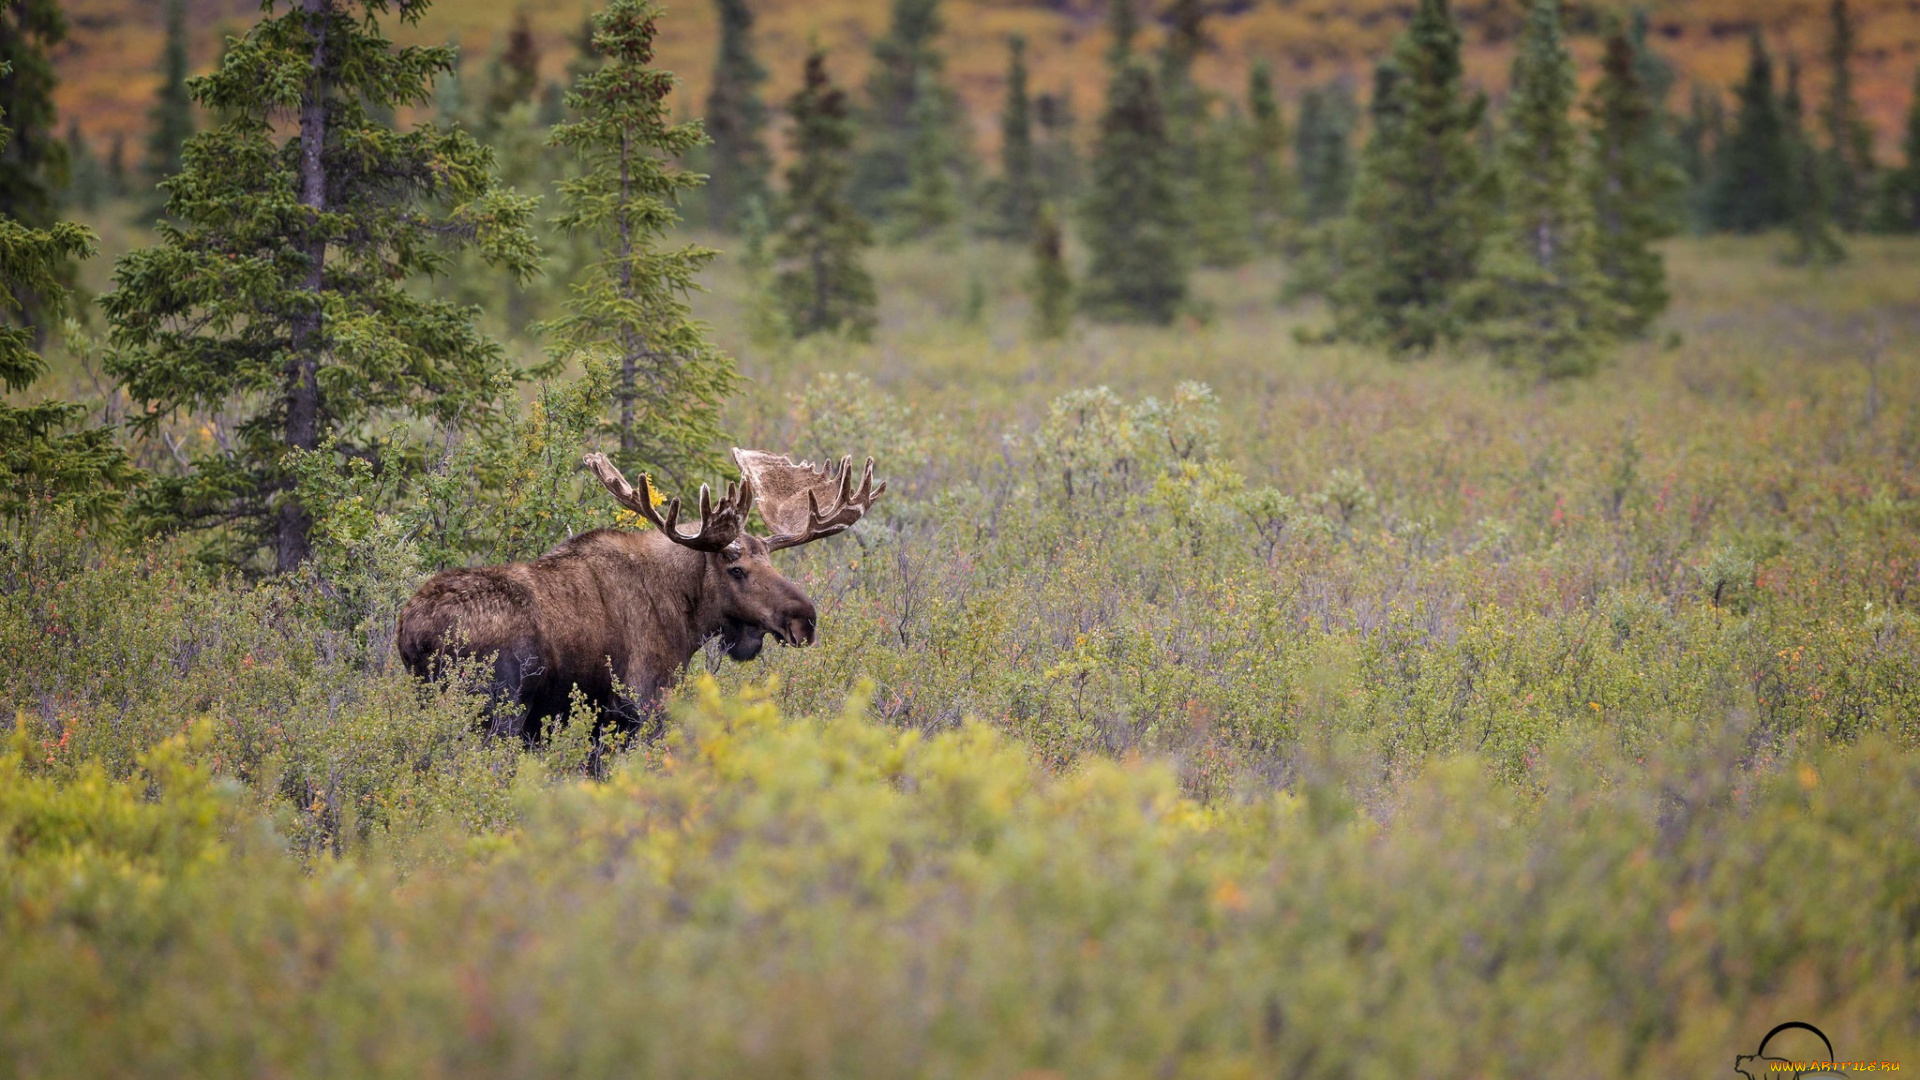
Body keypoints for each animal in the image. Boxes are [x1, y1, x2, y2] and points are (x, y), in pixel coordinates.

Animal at [399, 445, 890, 737]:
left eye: (770, 561)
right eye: (736, 568)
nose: (805, 619)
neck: (686, 616)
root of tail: (410, 633)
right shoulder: (644, 703)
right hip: (495, 711)